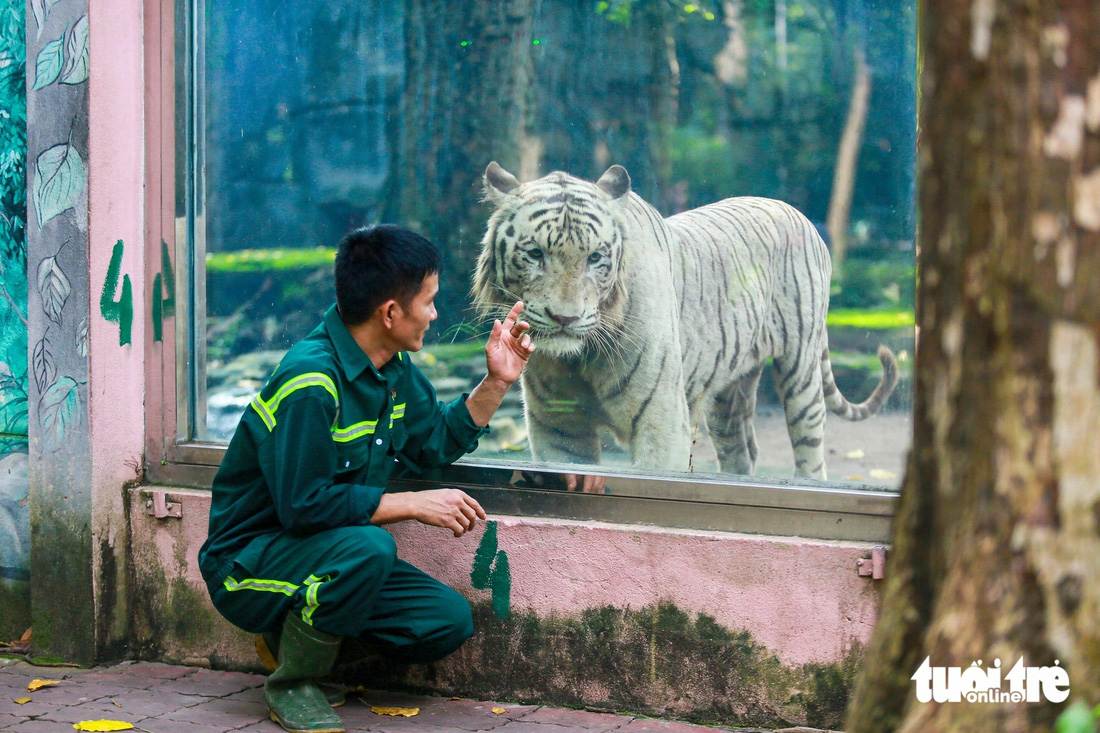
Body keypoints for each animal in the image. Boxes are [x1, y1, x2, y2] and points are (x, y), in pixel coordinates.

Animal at [470, 161, 893, 479]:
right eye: (535, 254)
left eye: (595, 257)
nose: (565, 318)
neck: (580, 357)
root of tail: (794, 210)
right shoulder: (558, 428)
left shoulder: (661, 422)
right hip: (727, 394)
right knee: (742, 451)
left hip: (801, 367)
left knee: (810, 451)